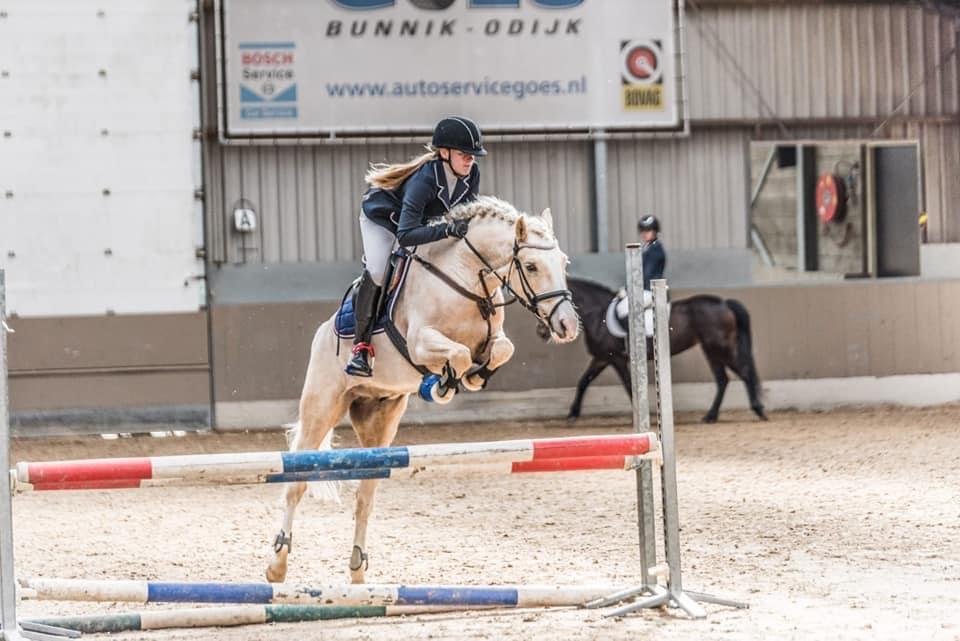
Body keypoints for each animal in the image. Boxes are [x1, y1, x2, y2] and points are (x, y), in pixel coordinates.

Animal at [266, 196, 580, 585]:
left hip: (380, 419)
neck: (465, 279)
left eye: (564, 263)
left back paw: (358, 571)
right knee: (296, 483)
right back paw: (277, 565)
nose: (567, 325)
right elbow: (458, 354)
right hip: (321, 407)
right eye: (532, 266)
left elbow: (499, 350)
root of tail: (324, 331)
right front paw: (441, 385)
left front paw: (473, 377)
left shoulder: (492, 338)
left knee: (365, 497)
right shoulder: (419, 343)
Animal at [556, 277, 766, 424]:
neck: (598, 315)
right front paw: (572, 414)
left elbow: (628, 385)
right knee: (723, 380)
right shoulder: (602, 358)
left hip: (720, 348)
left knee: (743, 373)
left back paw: (758, 410)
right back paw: (711, 416)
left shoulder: (615, 358)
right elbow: (583, 382)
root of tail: (724, 302)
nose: (547, 332)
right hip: (711, 351)